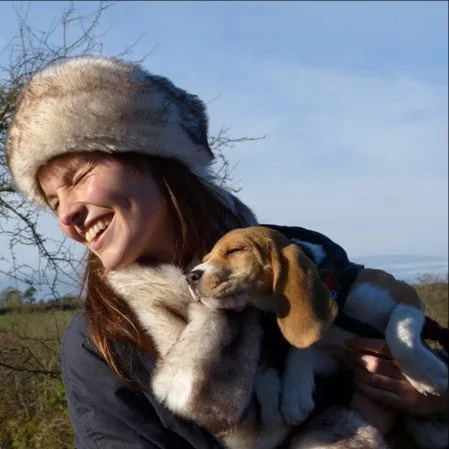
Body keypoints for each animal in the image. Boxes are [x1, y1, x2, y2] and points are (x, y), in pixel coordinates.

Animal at [186, 226, 448, 426]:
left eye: (236, 250)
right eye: (205, 259)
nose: (190, 276)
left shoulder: (405, 294)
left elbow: (400, 335)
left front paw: (429, 375)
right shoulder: (335, 360)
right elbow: (302, 348)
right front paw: (295, 393)